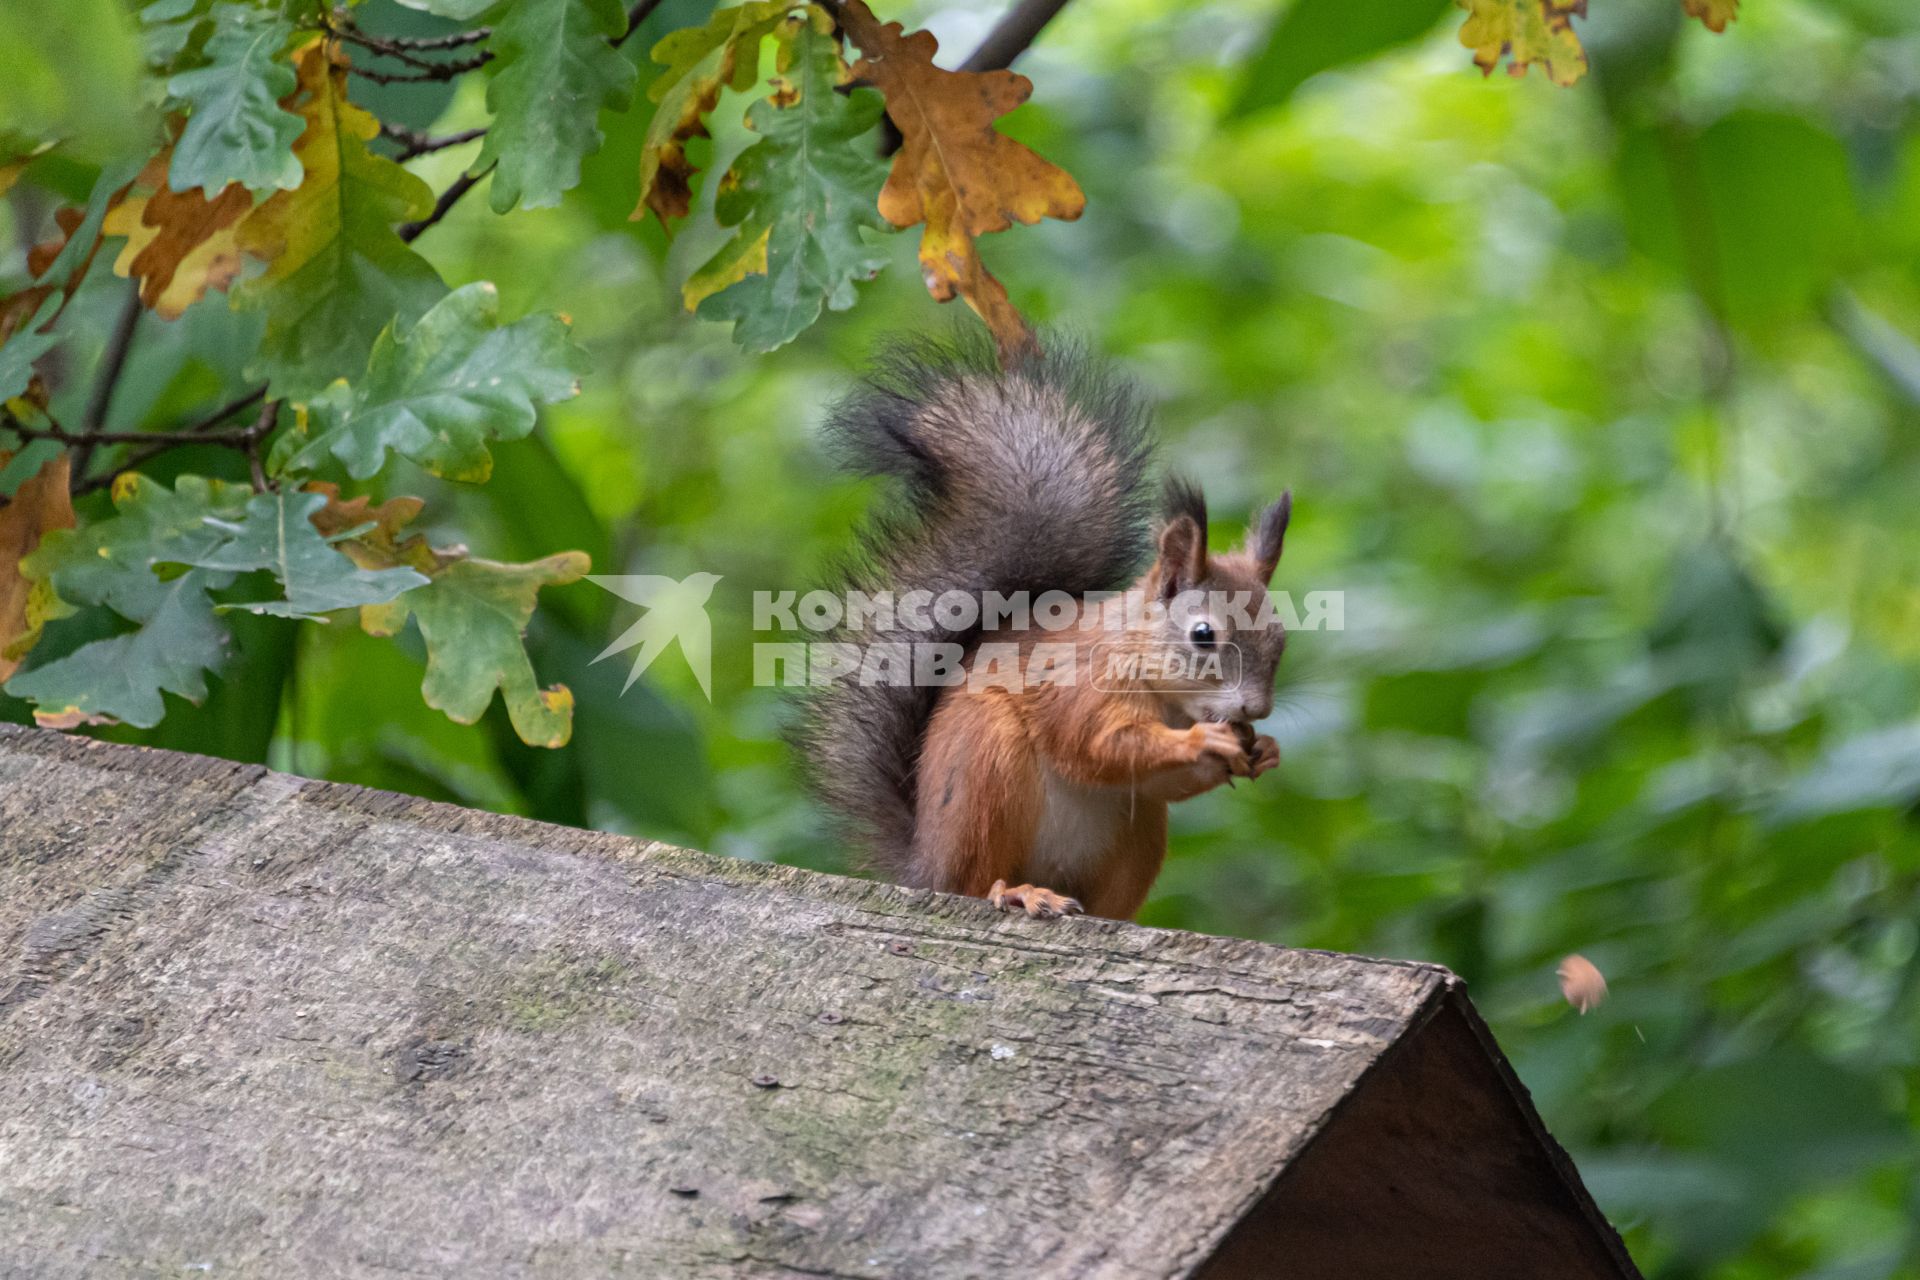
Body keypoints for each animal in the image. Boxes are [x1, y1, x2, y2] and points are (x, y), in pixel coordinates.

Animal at [794, 335, 1290, 924]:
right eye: (1202, 636)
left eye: (1281, 639)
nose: (1256, 710)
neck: (1155, 684)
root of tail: (926, 870)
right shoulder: (1078, 686)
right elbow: (1099, 743)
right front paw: (1202, 739)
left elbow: (1161, 780)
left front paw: (1265, 751)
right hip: (986, 767)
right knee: (975, 879)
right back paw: (1016, 891)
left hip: (1139, 830)